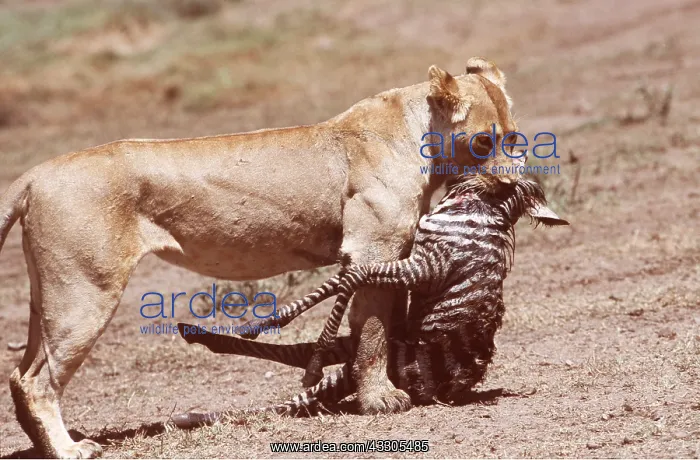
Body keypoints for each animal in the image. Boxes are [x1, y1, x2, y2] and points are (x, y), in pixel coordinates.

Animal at [0, 57, 520, 458]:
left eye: (513, 138)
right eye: (483, 141)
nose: (512, 186)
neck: (418, 133)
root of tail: (35, 174)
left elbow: (389, 324)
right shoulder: (372, 250)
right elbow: (373, 333)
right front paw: (381, 400)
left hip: (50, 296)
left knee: (20, 375)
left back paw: (48, 445)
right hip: (85, 293)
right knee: (39, 382)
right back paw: (68, 449)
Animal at [172, 174, 567, 428]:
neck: (481, 211)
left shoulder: (426, 267)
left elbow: (352, 277)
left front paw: (274, 322)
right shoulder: (415, 265)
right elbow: (343, 280)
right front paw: (271, 320)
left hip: (377, 360)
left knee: (302, 381)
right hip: (368, 348)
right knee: (302, 356)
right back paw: (201, 341)